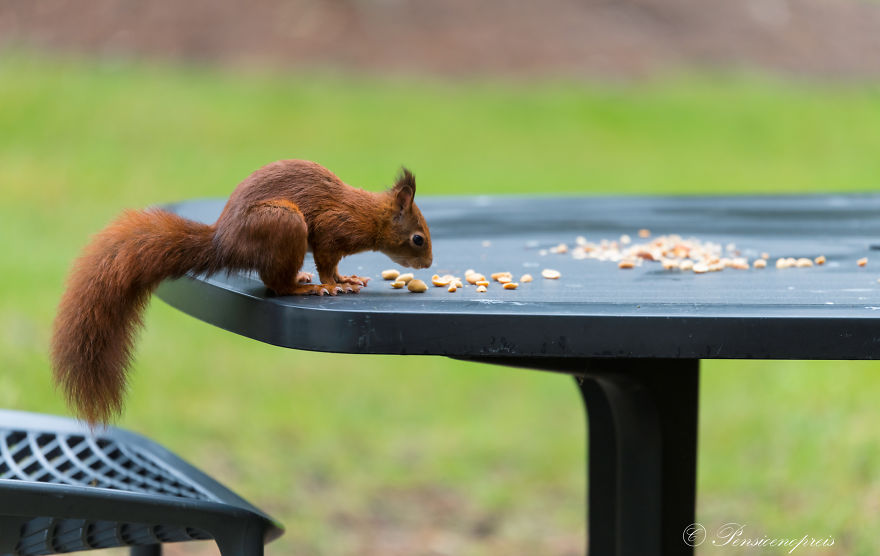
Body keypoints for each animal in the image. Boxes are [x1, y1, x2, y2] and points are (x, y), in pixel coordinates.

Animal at [51, 159, 433, 424]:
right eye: (418, 239)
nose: (429, 263)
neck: (369, 216)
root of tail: (225, 243)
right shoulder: (331, 230)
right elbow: (327, 262)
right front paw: (334, 283)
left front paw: (347, 278)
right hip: (285, 223)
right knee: (276, 284)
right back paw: (305, 288)